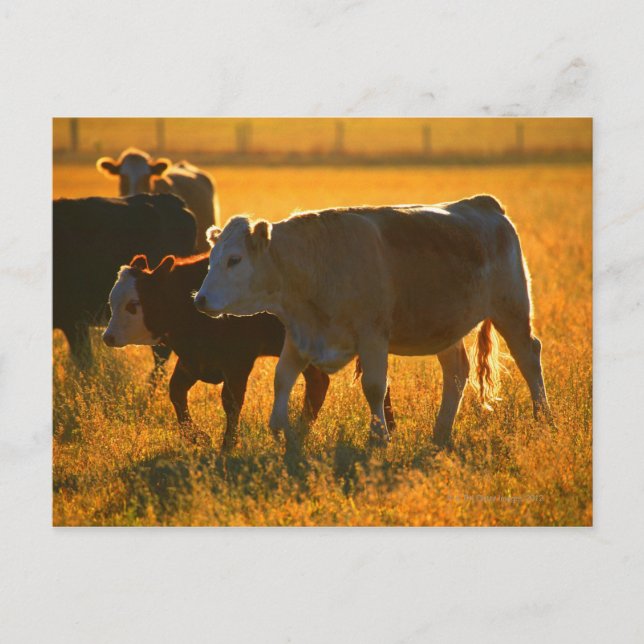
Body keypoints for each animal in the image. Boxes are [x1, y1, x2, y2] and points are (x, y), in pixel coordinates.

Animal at [102, 253, 394, 450]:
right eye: (112, 301)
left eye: (133, 304)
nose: (108, 337)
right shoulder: (193, 360)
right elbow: (176, 393)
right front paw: (196, 436)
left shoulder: (237, 362)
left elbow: (231, 402)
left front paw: (227, 445)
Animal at [194, 195, 554, 447]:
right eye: (211, 259)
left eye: (235, 259)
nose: (200, 300)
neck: (316, 261)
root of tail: (485, 204)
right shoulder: (299, 336)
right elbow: (282, 379)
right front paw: (280, 428)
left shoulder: (372, 337)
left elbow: (374, 387)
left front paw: (379, 437)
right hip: (448, 328)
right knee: (456, 372)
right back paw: (440, 432)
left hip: (512, 309)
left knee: (528, 357)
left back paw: (544, 418)